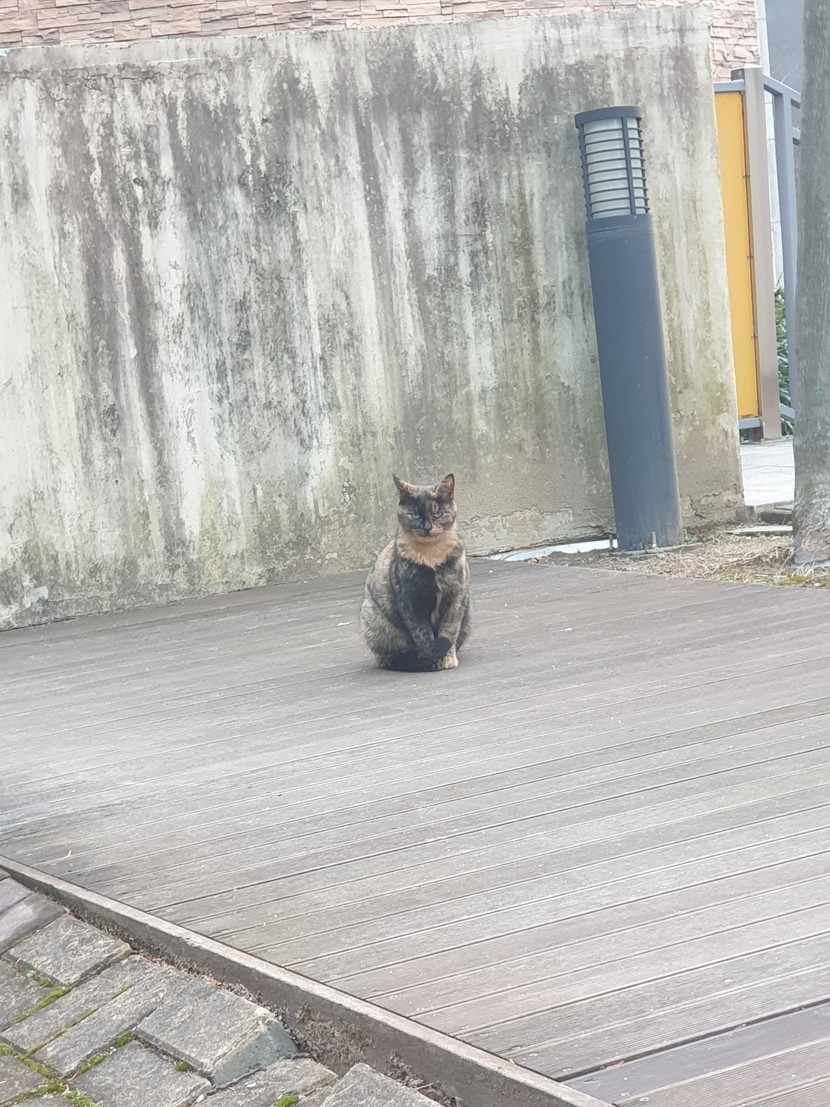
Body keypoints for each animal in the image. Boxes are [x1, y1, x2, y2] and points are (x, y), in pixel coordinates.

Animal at [361, 473, 471, 672]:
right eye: (414, 515)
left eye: (437, 514)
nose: (427, 527)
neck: (431, 557)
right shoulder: (412, 602)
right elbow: (423, 635)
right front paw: (432, 658)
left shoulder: (455, 598)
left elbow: (449, 630)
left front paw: (448, 658)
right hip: (375, 619)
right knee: (391, 656)